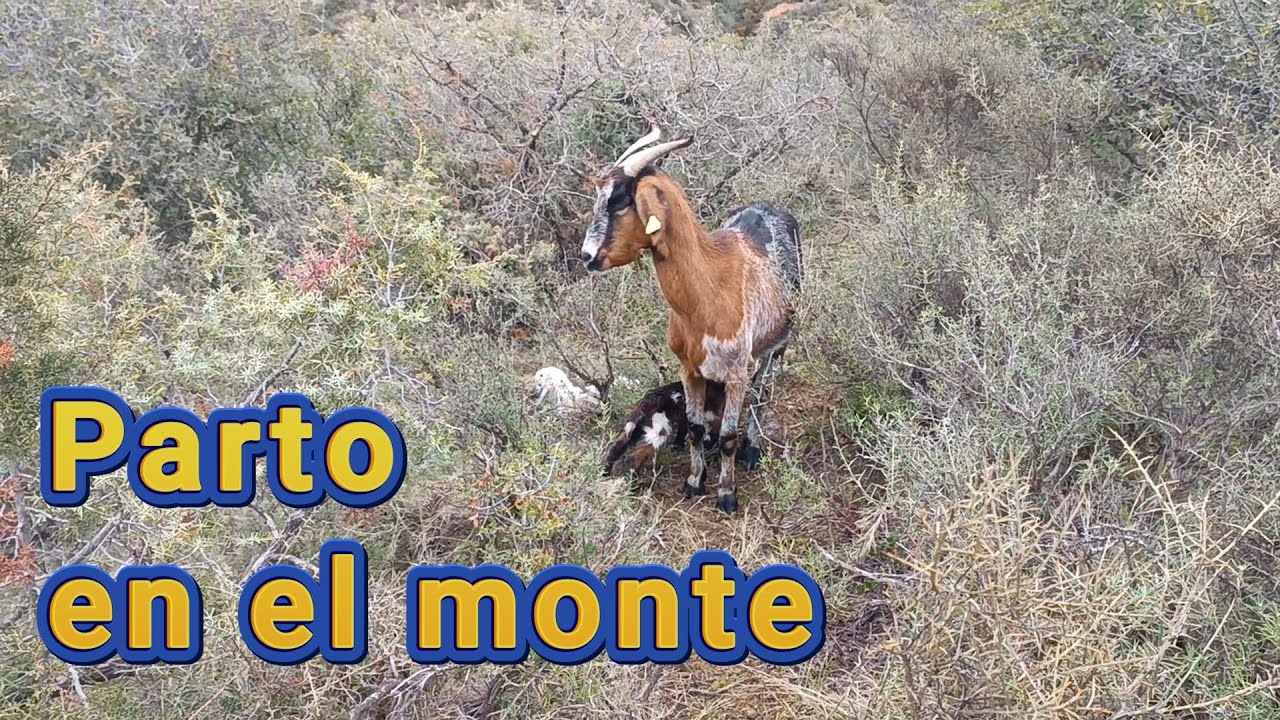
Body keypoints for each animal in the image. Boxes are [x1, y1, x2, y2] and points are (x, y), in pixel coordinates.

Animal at [580, 127, 803, 512]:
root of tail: (770, 207)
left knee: (763, 392)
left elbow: (727, 434)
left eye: (619, 200)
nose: (587, 256)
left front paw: (727, 494)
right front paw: (694, 483)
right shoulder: (689, 369)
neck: (708, 287)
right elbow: (697, 428)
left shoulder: (736, 372)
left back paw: (753, 449)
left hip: (778, 343)